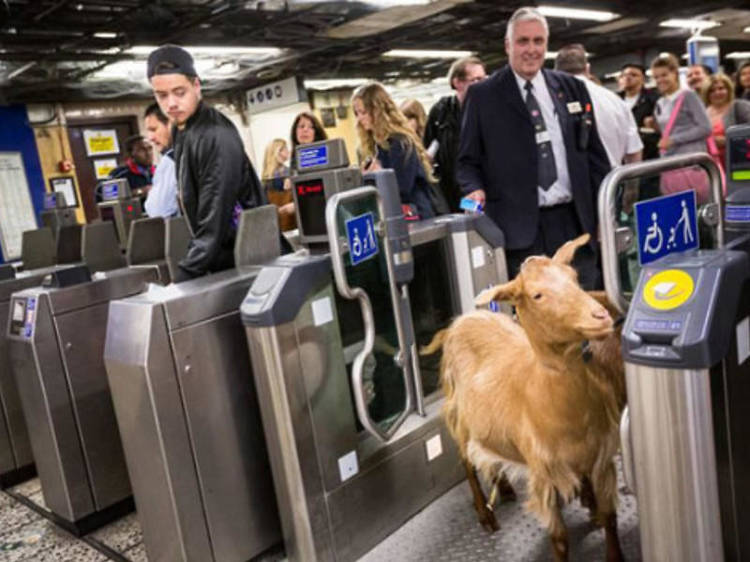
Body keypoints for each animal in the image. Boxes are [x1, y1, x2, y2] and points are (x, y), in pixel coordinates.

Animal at [426, 234, 624, 560]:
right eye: (537, 295)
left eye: (574, 277)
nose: (601, 316)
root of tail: (463, 319)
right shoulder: (544, 474)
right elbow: (559, 539)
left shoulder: (600, 458)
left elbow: (610, 517)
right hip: (459, 417)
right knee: (467, 461)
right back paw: (485, 514)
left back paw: (504, 486)